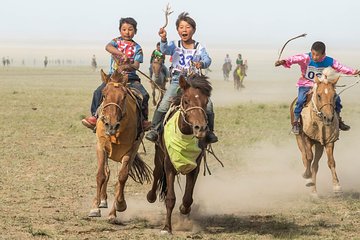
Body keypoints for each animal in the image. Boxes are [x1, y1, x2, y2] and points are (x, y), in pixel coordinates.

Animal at [90, 66, 153, 222]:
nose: (111, 125)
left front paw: (118, 207)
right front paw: (95, 208)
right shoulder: (101, 147)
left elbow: (122, 178)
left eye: (124, 97)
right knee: (106, 172)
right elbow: (100, 175)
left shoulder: (130, 150)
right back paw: (102, 201)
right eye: (104, 95)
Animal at [145, 74, 211, 234]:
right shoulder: (169, 165)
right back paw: (151, 196)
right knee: (157, 173)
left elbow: (187, 198)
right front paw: (166, 228)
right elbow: (170, 198)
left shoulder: (195, 167)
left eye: (206, 102)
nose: (200, 128)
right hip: (159, 155)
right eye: (186, 100)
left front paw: (183, 209)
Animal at [290, 66, 344, 196]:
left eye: (334, 95)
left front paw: (337, 186)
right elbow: (308, 157)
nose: (328, 118)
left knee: (315, 165)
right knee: (305, 158)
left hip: (319, 144)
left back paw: (314, 192)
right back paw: (310, 182)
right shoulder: (306, 138)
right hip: (299, 139)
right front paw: (307, 177)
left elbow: (331, 161)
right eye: (319, 95)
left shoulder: (329, 140)